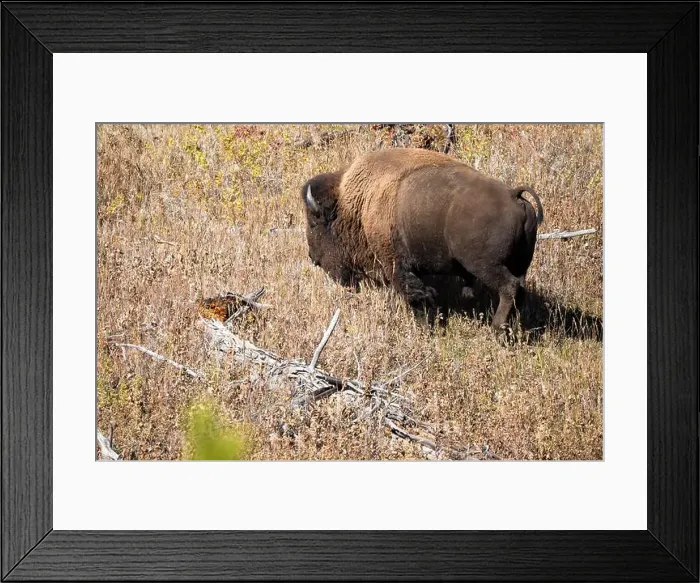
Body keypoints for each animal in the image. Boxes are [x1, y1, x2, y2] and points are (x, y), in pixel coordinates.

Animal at [301, 148, 543, 330]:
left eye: (314, 223)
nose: (313, 257)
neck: (359, 205)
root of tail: (513, 195)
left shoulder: (396, 265)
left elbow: (415, 293)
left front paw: (426, 326)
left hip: (485, 266)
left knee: (509, 287)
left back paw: (498, 328)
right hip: (520, 264)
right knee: (520, 290)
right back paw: (514, 328)